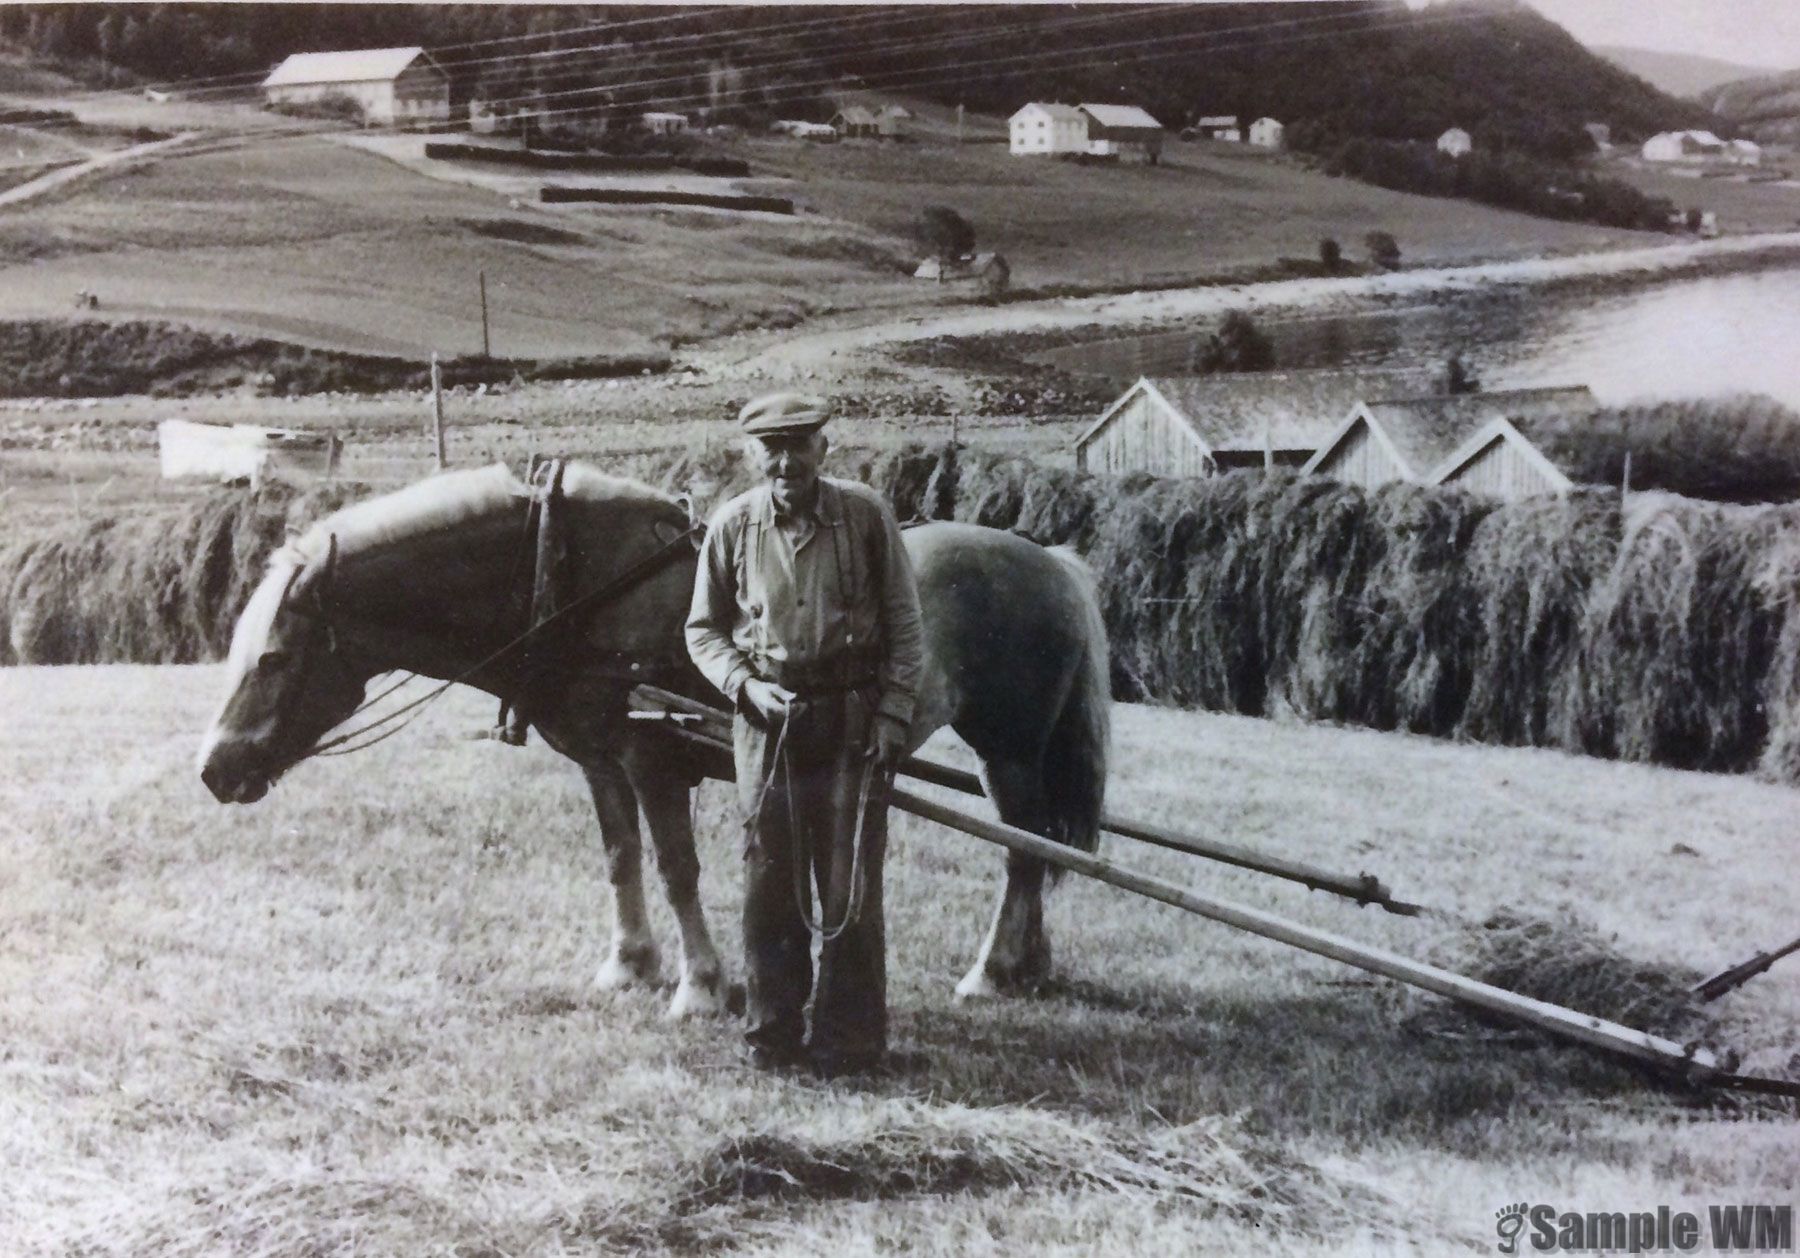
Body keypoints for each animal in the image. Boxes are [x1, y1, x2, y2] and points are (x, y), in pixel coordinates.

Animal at [193, 467, 1094, 1022]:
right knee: (1037, 849)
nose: (214, 770)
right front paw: (629, 965)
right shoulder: (601, 762)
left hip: (1010, 748)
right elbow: (621, 858)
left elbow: (674, 866)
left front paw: (699, 986)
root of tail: (1051, 561)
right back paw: (1029, 965)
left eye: (273, 658)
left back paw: (991, 970)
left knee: (1023, 853)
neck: (573, 586)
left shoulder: (652, 760)